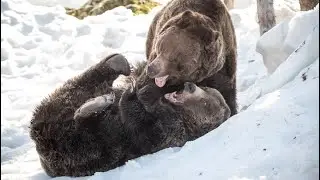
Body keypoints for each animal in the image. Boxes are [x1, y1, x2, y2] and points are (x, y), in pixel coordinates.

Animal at [29, 53, 230, 177]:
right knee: (82, 87)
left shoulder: (169, 131)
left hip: (82, 150)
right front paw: (149, 83)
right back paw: (116, 65)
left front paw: (139, 93)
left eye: (206, 102)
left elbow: (142, 124)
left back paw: (99, 102)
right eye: (205, 90)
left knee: (79, 112)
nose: (190, 86)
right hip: (64, 111)